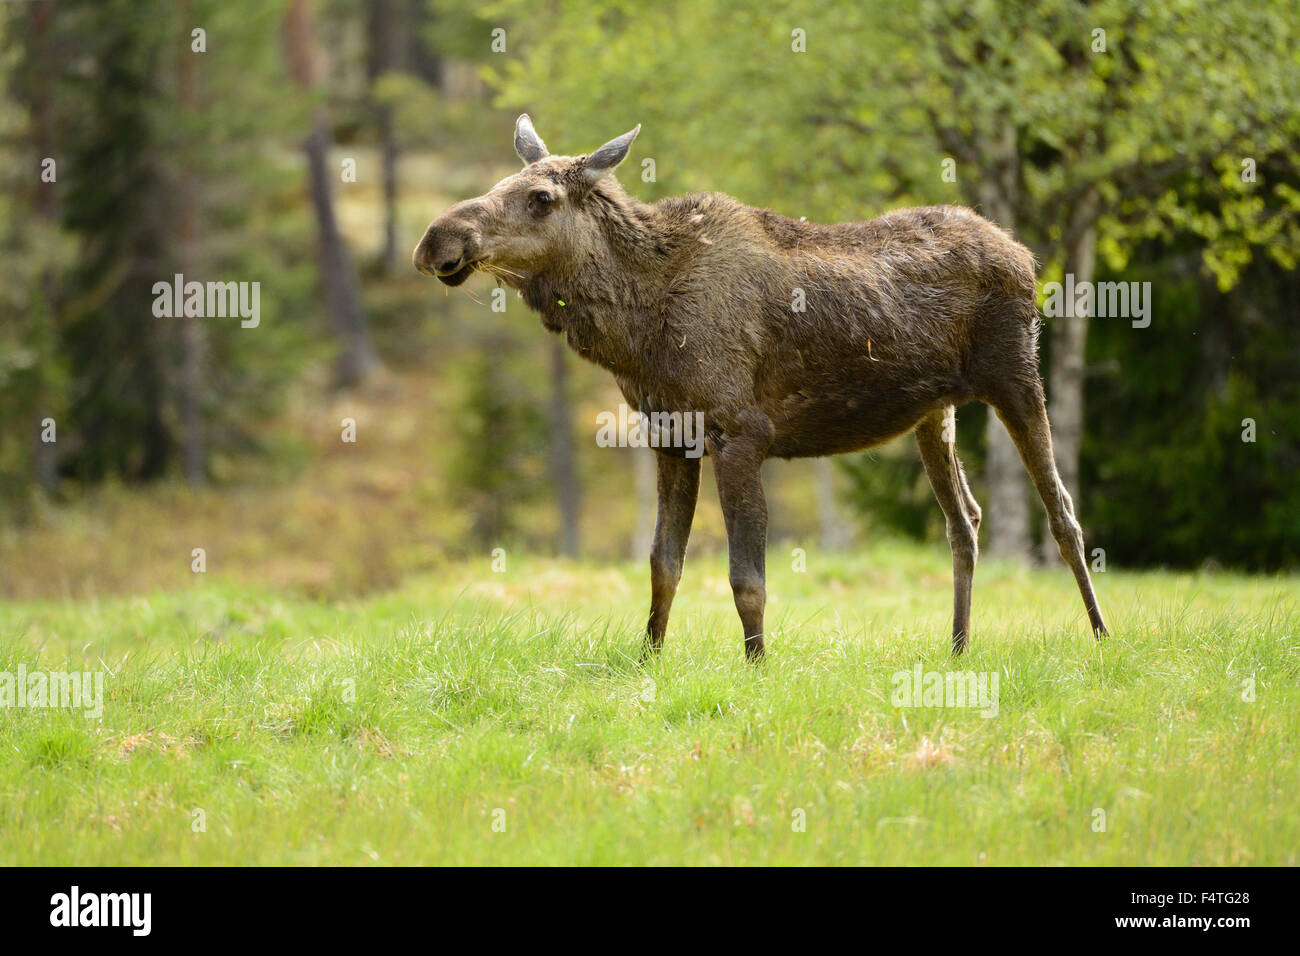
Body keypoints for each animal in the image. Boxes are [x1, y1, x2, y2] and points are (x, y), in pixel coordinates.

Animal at [413, 115, 1107, 660]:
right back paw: (959, 646)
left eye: (540, 197)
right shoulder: (670, 436)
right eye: (498, 185)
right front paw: (648, 659)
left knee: (1063, 513)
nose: (436, 239)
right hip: (933, 414)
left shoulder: (741, 432)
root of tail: (1026, 255)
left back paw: (1101, 636)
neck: (637, 330)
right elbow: (663, 563)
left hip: (1017, 376)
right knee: (965, 519)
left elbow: (747, 577)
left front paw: (757, 664)